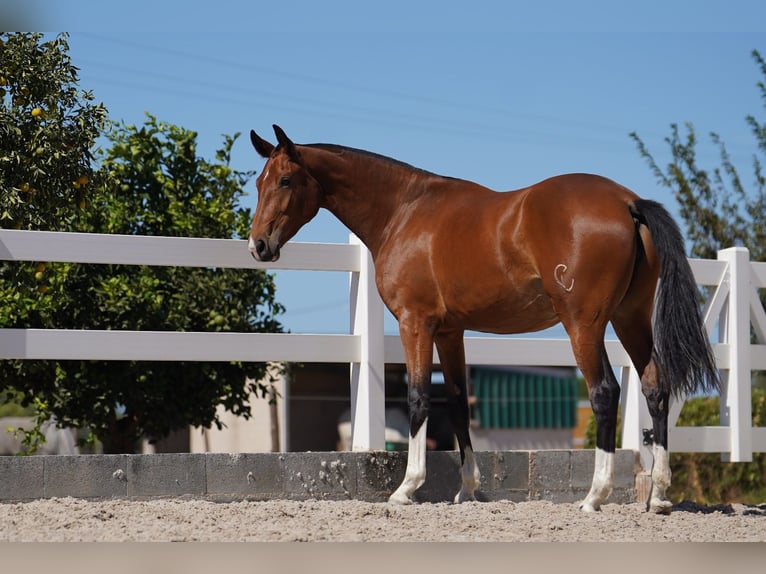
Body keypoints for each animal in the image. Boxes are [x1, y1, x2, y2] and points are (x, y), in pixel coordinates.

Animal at [248, 125, 720, 512]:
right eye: (259, 182)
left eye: (286, 180)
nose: (258, 245)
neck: (404, 211)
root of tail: (626, 202)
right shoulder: (450, 331)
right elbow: (457, 402)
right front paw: (467, 489)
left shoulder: (415, 323)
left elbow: (419, 398)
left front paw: (407, 488)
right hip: (629, 317)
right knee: (656, 388)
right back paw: (658, 495)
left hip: (583, 324)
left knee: (605, 392)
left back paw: (594, 496)